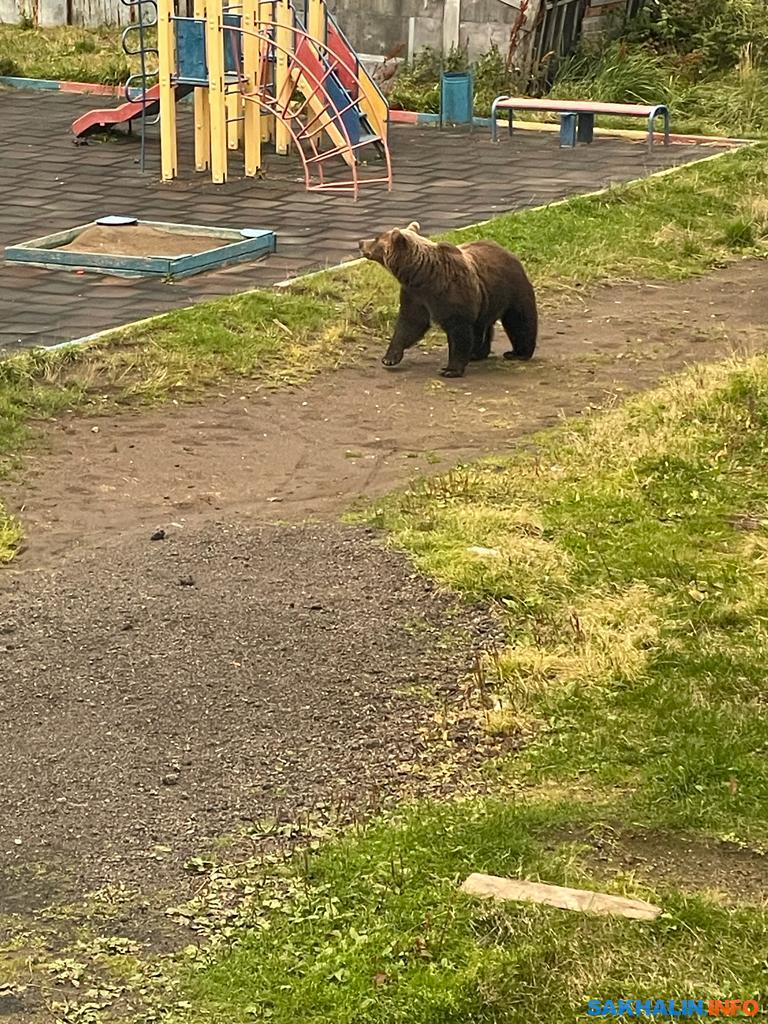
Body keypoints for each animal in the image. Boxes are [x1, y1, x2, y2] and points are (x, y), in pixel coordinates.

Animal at [360, 220, 536, 376]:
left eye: (376, 238)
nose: (361, 242)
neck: (422, 275)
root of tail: (507, 251)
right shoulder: (415, 295)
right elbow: (409, 323)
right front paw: (389, 357)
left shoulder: (452, 294)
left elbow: (458, 331)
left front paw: (450, 369)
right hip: (485, 299)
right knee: (482, 325)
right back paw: (477, 353)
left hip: (511, 289)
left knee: (520, 321)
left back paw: (518, 353)